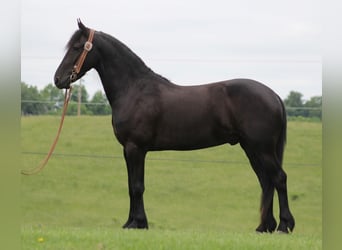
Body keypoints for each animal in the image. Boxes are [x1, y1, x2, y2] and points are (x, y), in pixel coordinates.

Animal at [53, 20, 294, 233]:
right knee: (266, 181)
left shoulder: (135, 148)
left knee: (279, 178)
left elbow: (137, 186)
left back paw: (284, 226)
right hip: (252, 149)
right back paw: (264, 227)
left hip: (262, 149)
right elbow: (131, 185)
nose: (58, 79)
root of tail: (274, 95)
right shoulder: (128, 150)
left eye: (76, 47)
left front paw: (138, 223)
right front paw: (131, 222)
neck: (134, 89)